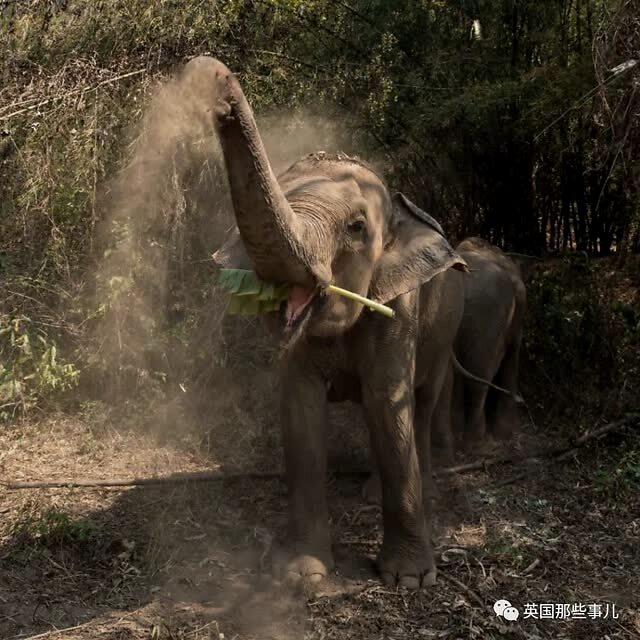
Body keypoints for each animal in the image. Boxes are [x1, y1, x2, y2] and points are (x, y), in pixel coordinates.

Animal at [190, 56, 500, 592]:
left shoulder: (400, 307)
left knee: (419, 403)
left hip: (446, 324)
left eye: (356, 228)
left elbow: (388, 407)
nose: (213, 77)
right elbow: (301, 418)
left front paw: (409, 581)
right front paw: (301, 576)